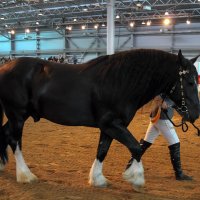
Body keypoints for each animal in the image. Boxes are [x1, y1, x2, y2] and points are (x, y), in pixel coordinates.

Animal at [0, 48, 198, 189]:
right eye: (189, 82)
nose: (195, 114)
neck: (119, 81)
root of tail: (5, 67)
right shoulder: (111, 124)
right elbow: (136, 147)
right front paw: (135, 178)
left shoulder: (110, 127)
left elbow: (102, 150)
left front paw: (98, 179)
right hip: (17, 115)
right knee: (15, 141)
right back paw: (25, 175)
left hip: (18, 116)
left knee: (5, 133)